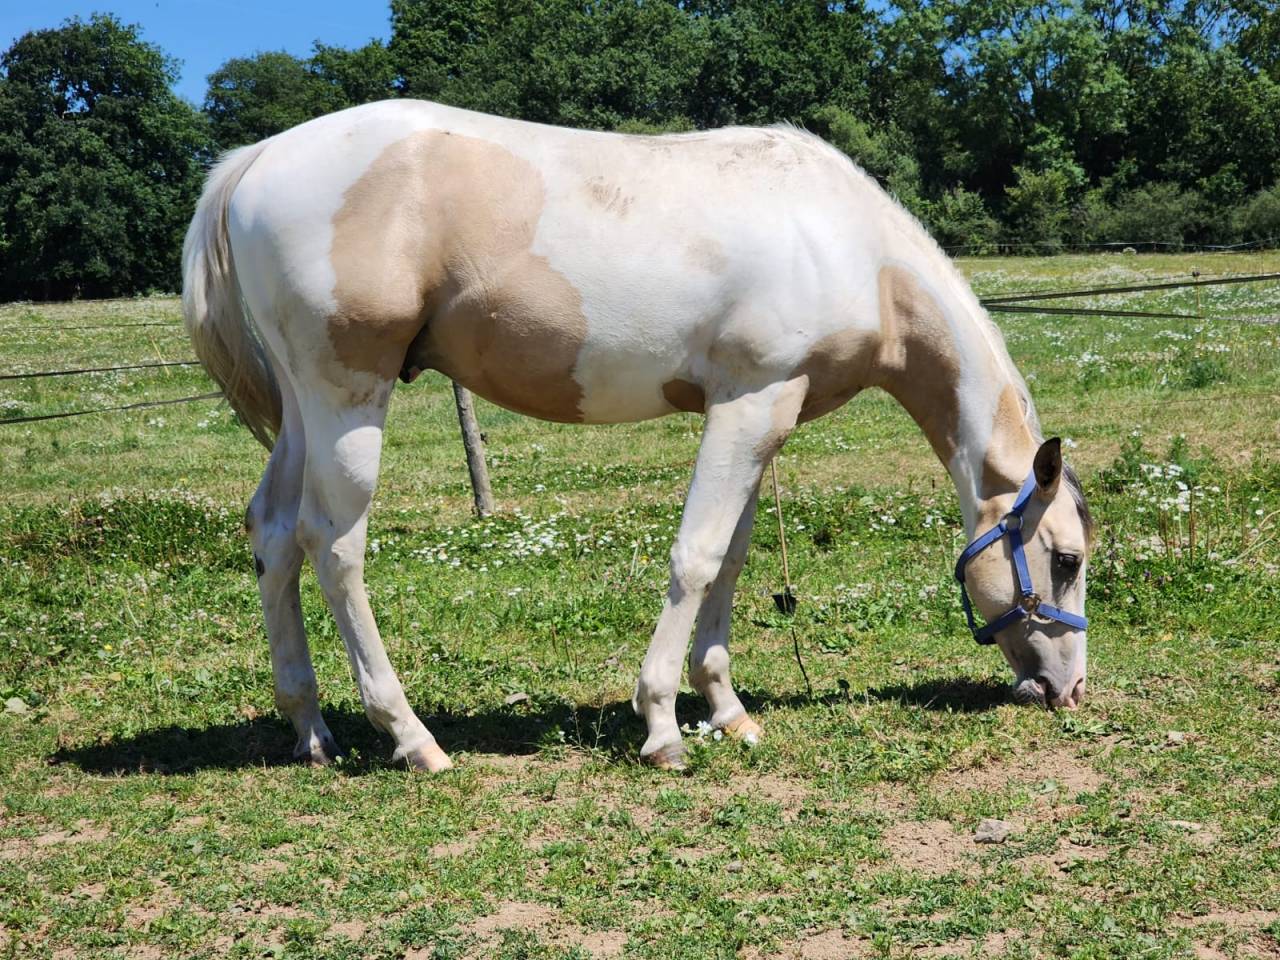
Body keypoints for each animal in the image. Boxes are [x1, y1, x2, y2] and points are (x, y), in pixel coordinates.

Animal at [182, 100, 1094, 772]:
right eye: (1067, 559)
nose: (1070, 690)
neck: (847, 248)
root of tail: (257, 158)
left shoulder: (762, 418)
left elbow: (730, 558)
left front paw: (727, 711)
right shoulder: (750, 403)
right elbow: (695, 558)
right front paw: (660, 725)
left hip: (304, 411)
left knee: (274, 533)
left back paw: (310, 730)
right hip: (348, 401)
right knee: (334, 546)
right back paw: (411, 737)